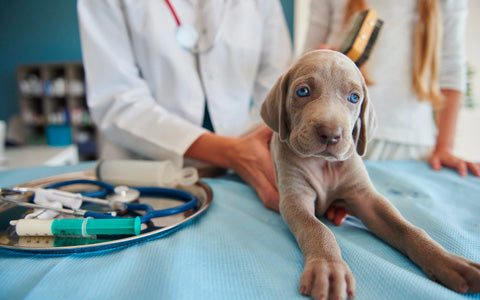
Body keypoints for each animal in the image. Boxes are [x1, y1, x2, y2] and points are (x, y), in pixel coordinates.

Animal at [262, 49, 480, 300]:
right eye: (303, 91)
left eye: (354, 97)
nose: (331, 134)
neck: (325, 164)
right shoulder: (295, 199)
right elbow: (316, 228)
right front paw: (329, 268)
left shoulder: (365, 198)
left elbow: (407, 228)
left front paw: (448, 261)